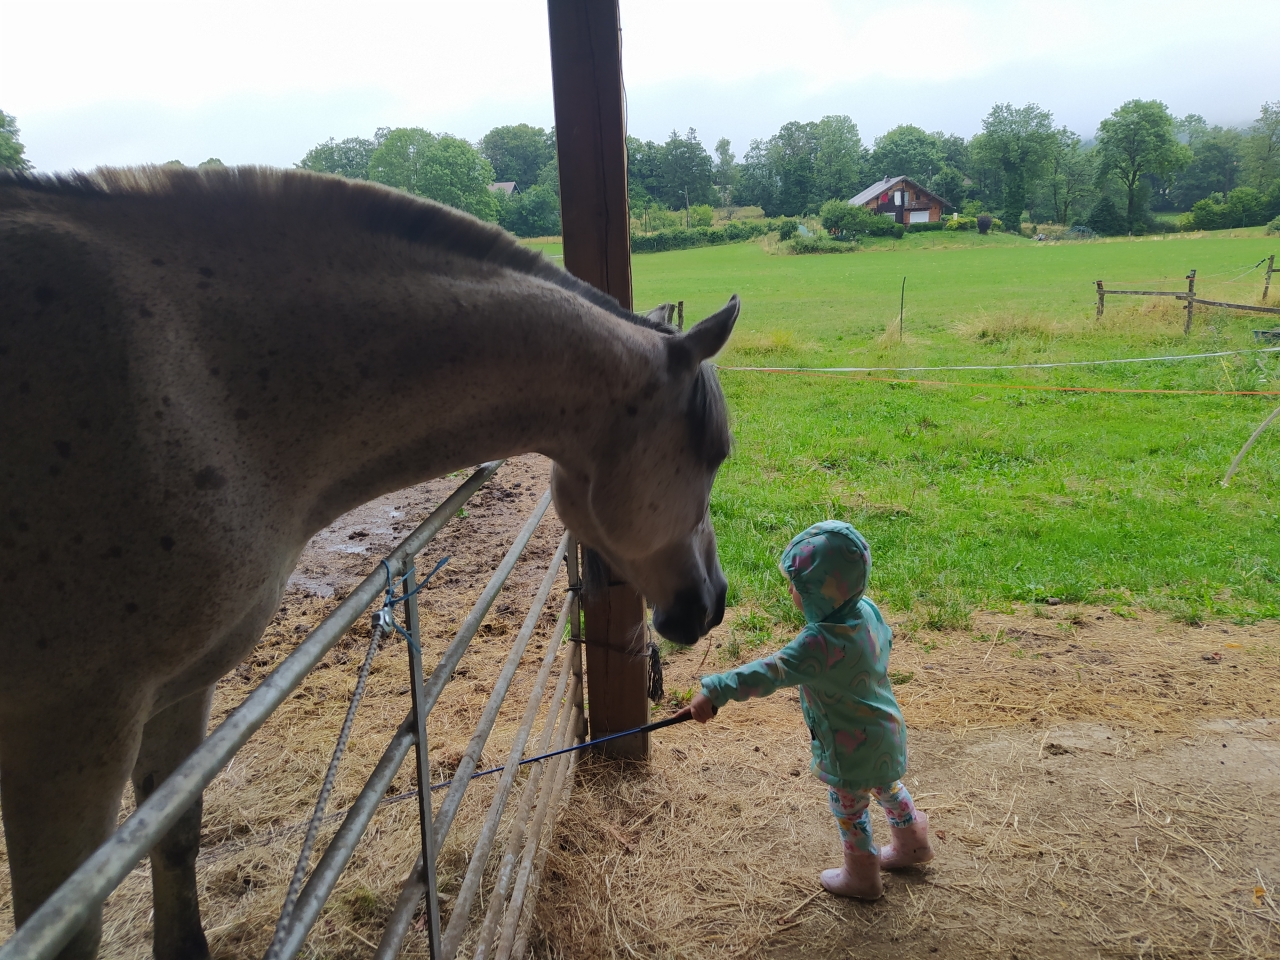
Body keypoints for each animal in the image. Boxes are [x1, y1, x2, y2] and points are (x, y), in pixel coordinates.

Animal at [0, 165, 737, 960]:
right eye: (715, 451)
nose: (713, 601)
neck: (211, 392)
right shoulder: (71, 737)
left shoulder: (178, 691)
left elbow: (177, 841)